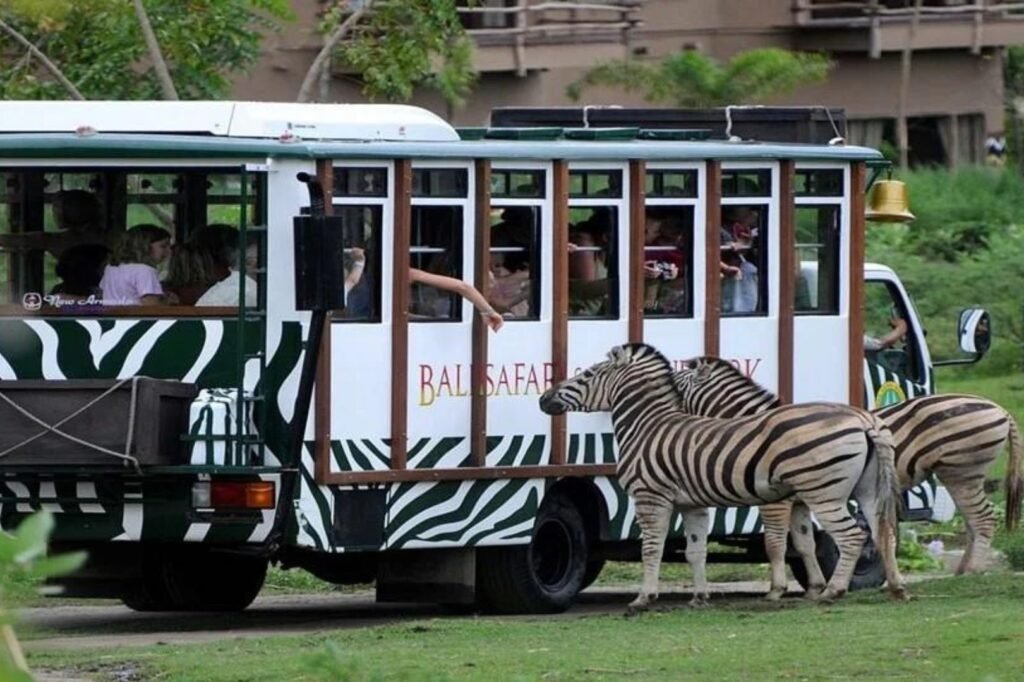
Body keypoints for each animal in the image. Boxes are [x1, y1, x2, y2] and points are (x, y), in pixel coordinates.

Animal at [536, 339, 905, 610]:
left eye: (587, 375)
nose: (543, 399)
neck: (647, 425)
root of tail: (864, 419)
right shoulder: (694, 504)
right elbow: (696, 550)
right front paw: (700, 597)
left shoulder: (651, 497)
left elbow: (652, 548)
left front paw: (643, 599)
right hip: (865, 491)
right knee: (882, 531)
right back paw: (895, 588)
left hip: (823, 492)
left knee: (852, 536)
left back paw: (834, 591)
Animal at [675, 356, 1019, 593]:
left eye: (675, 385)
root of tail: (1001, 409)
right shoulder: (799, 500)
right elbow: (803, 544)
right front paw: (814, 586)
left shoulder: (776, 501)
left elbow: (775, 544)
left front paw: (778, 589)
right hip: (959, 475)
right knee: (974, 522)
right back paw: (964, 569)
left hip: (962, 472)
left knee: (983, 519)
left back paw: (972, 571)